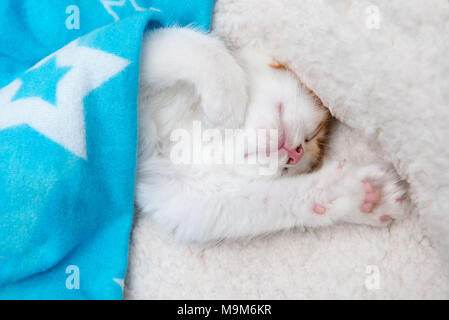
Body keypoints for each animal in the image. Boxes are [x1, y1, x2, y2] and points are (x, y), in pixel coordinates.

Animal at [135, 28, 404, 242]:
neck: (191, 125)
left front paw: (357, 195)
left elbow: (257, 203)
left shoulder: (177, 194)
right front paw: (226, 106)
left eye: (289, 169)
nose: (296, 152)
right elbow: (187, 46)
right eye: (313, 133)